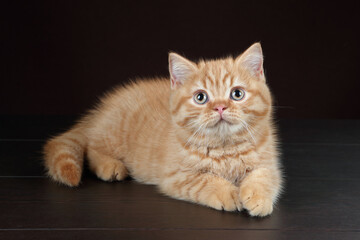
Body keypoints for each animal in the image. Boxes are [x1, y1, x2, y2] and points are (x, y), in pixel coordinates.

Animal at [43, 43, 282, 218]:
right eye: (201, 97)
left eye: (237, 94)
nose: (220, 107)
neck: (224, 148)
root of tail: (101, 111)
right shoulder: (176, 177)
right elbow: (206, 180)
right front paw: (228, 193)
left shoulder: (269, 163)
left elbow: (265, 177)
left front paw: (258, 198)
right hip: (111, 134)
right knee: (92, 148)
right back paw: (109, 165)